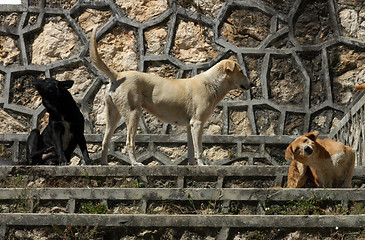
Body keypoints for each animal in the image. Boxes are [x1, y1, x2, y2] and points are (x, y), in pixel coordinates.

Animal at [90, 26, 252, 165]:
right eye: (241, 71)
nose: (251, 84)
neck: (212, 83)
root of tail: (118, 75)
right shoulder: (197, 123)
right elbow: (199, 149)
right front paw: (202, 166)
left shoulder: (190, 126)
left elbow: (192, 150)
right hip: (133, 114)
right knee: (129, 142)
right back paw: (135, 163)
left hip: (113, 115)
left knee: (105, 141)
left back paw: (104, 165)